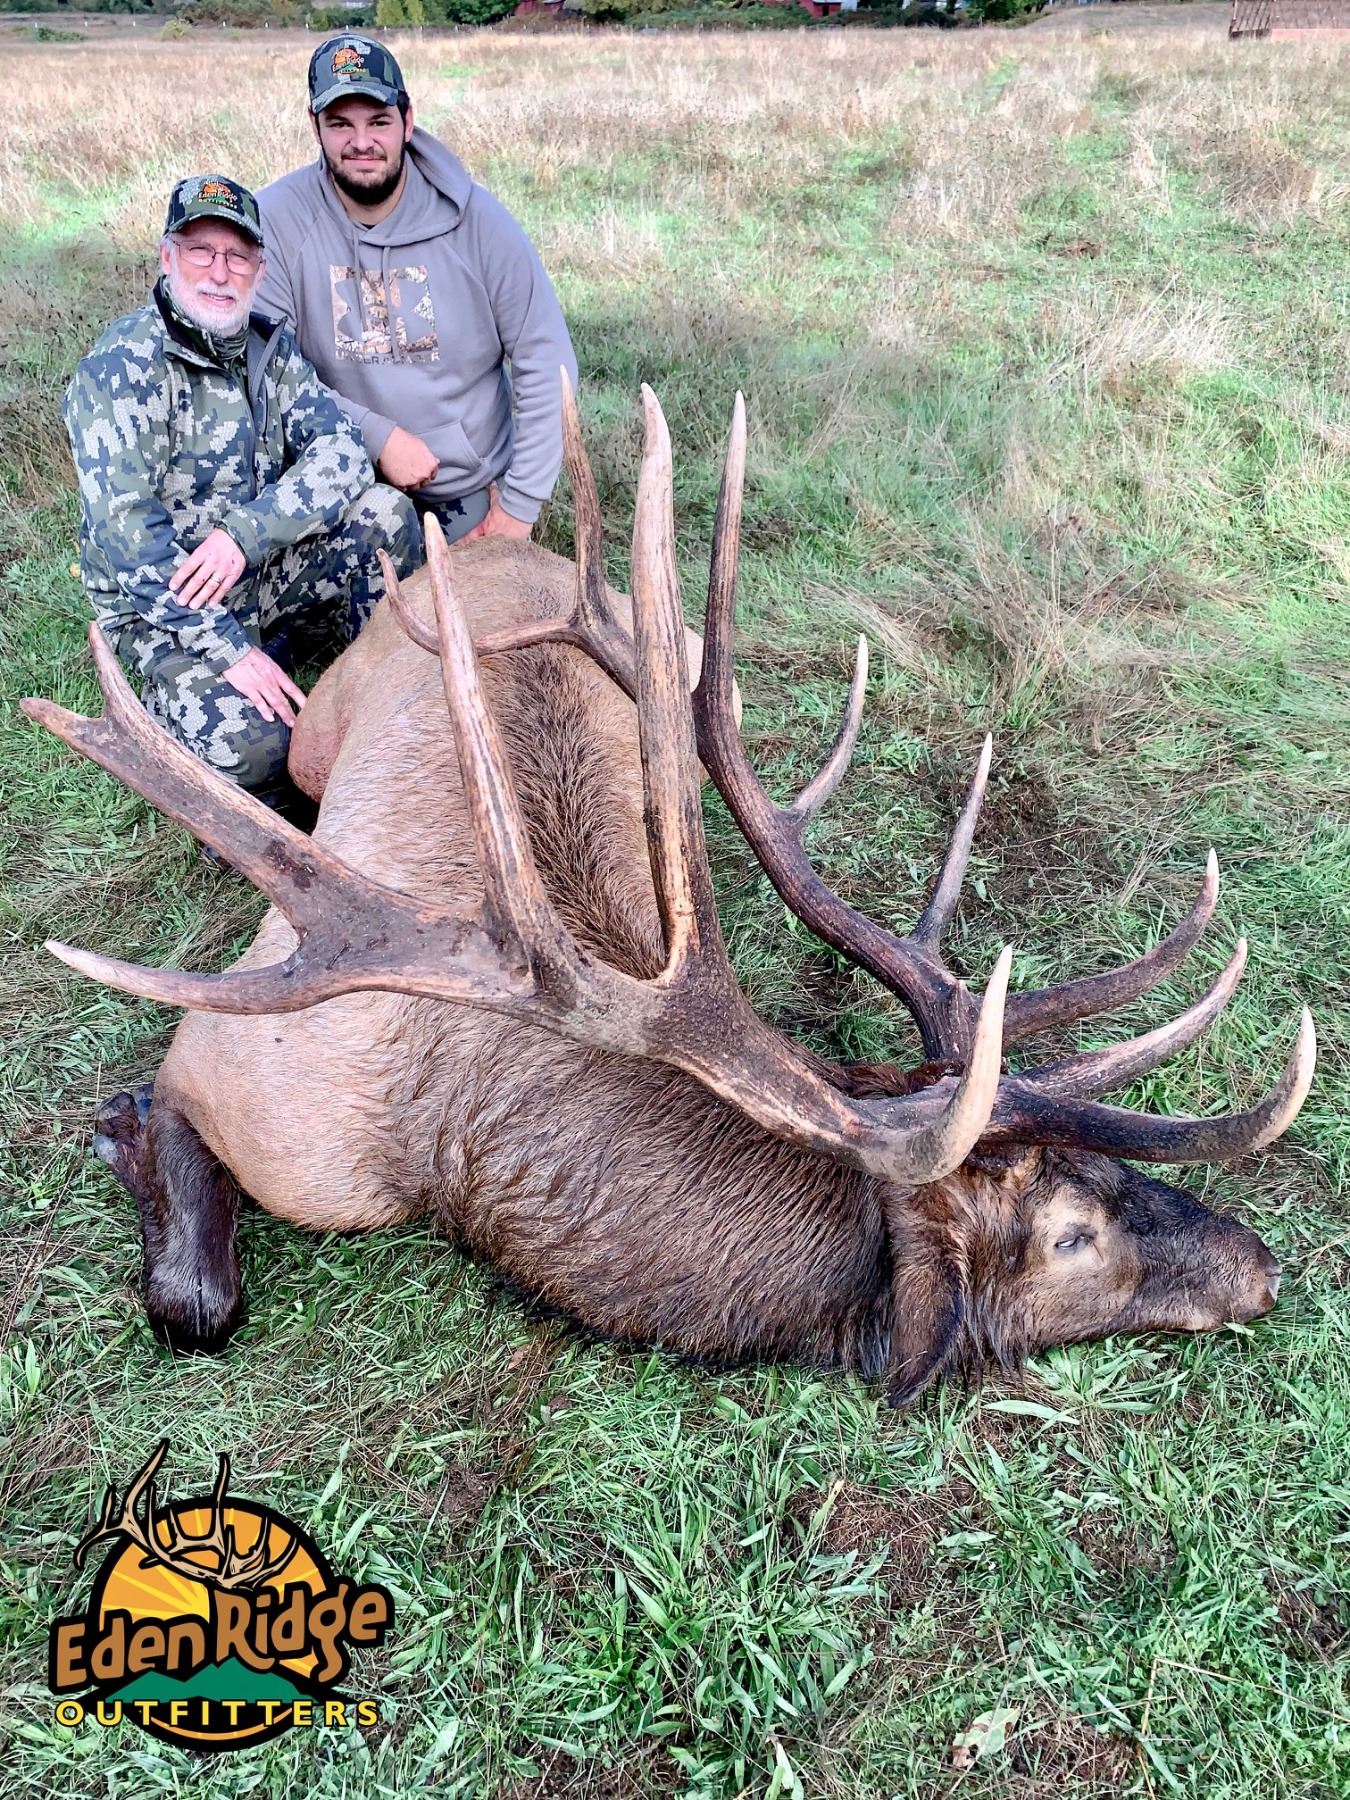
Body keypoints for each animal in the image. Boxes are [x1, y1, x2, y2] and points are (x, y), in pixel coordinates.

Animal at [23, 381, 1314, 1407]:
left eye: (1113, 1180)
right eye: (1071, 1234)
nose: (1263, 1263)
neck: (451, 1166)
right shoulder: (245, 1068)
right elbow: (196, 1293)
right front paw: (117, 1127)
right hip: (318, 726)